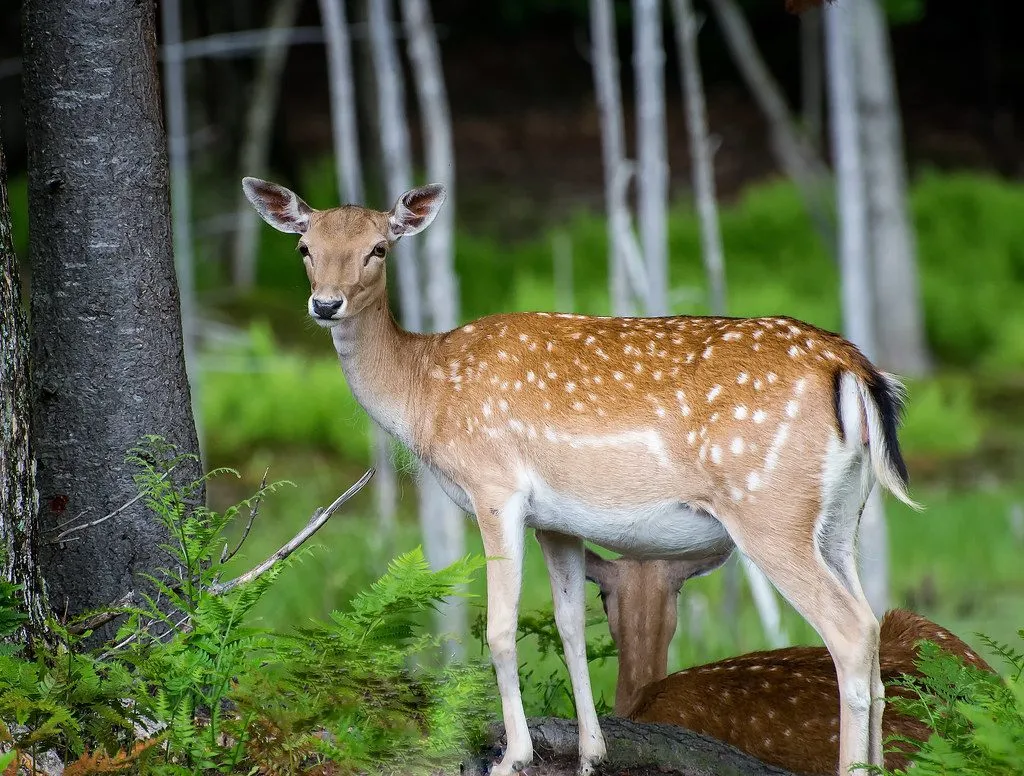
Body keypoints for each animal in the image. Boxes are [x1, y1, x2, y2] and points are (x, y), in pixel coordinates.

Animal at [242, 177, 920, 776]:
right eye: (305, 246)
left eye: (378, 248)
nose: (324, 303)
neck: (423, 393)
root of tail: (853, 367)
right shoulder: (558, 521)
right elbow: (570, 625)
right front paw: (593, 753)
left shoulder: (495, 486)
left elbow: (500, 627)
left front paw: (513, 756)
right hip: (841, 518)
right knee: (872, 628)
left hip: (769, 509)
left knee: (850, 631)